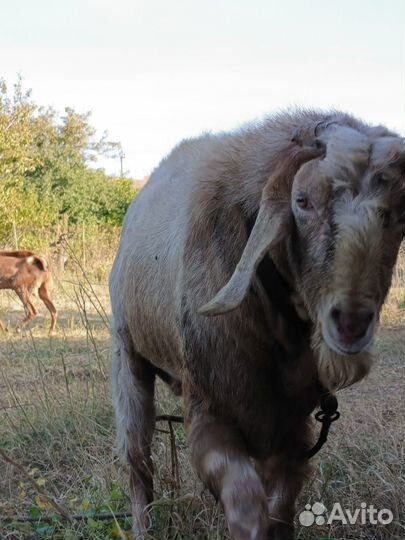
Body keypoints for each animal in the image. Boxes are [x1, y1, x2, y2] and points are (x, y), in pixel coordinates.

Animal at [109, 110, 402, 540]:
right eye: (302, 201)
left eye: (401, 212)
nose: (351, 322)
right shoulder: (209, 412)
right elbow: (247, 507)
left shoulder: (291, 430)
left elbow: (279, 510)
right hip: (127, 356)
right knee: (138, 463)